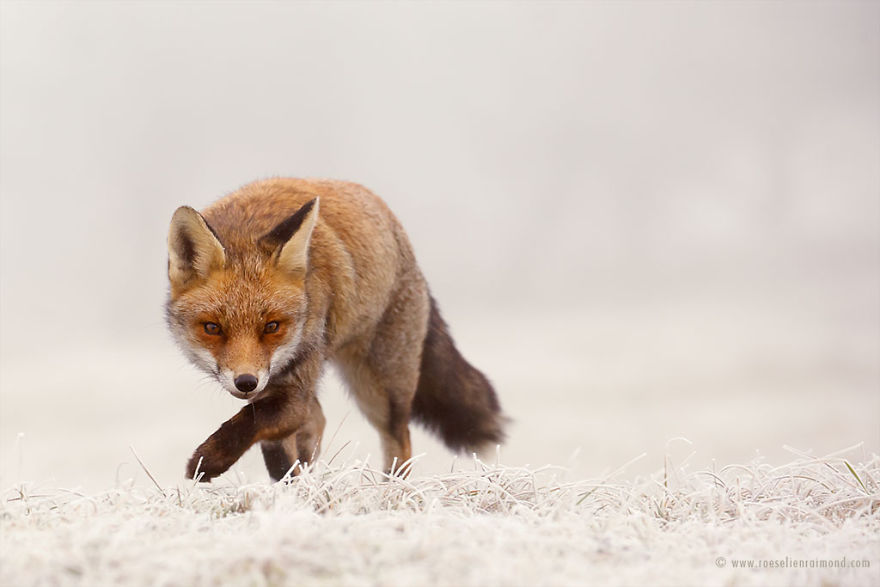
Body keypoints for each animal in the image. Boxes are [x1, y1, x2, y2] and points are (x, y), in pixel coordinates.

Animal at [166, 178, 506, 481]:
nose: (246, 382)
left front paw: (207, 461)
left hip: (380, 389)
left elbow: (251, 421)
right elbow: (273, 446)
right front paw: (287, 487)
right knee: (318, 420)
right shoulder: (275, 386)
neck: (245, 229)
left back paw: (393, 491)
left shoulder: (293, 385)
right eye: (212, 328)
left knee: (399, 440)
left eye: (272, 326)